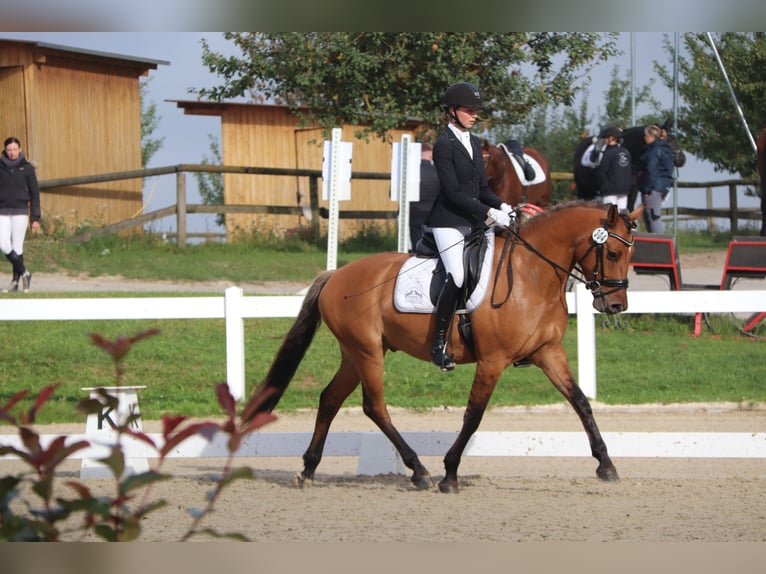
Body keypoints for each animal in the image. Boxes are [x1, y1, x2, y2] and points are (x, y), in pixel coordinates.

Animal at [244, 202, 640, 496]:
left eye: (629, 253)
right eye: (613, 252)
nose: (616, 305)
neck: (531, 274)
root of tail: (335, 276)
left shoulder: (549, 352)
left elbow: (581, 402)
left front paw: (606, 465)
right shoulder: (493, 360)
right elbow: (473, 415)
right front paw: (450, 474)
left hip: (355, 354)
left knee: (329, 399)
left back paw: (309, 469)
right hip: (367, 352)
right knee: (374, 407)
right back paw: (419, 471)